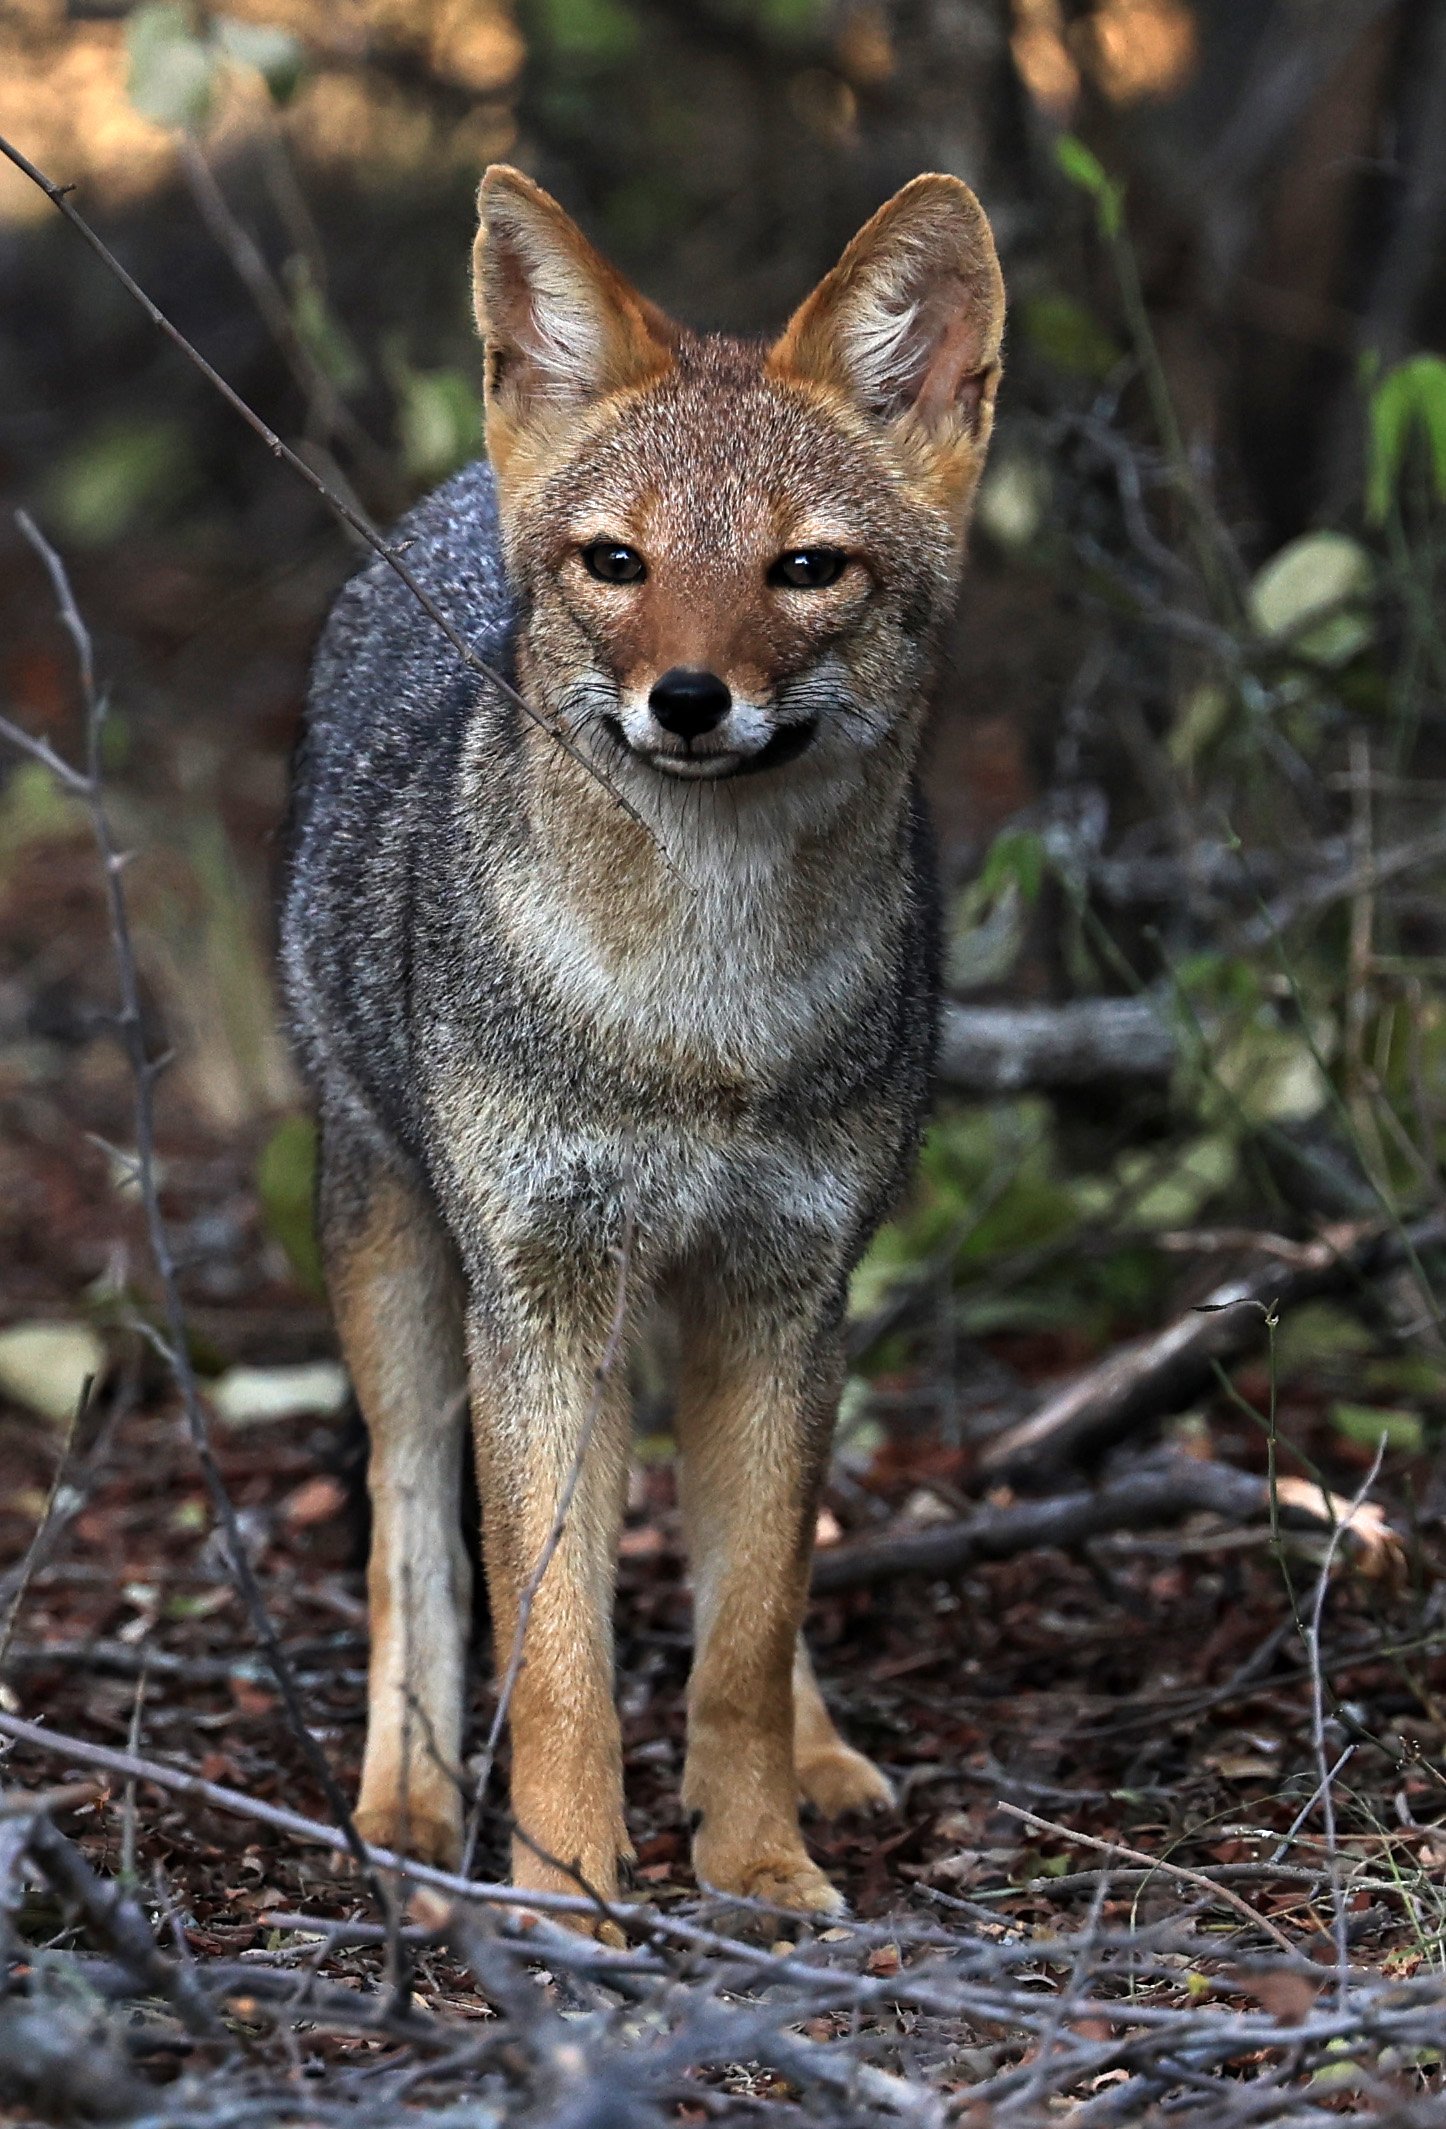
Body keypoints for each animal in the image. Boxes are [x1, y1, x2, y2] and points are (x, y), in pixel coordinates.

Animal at [281, 165, 1004, 1925]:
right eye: (618, 559)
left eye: (804, 570)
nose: (686, 698)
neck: (699, 1021)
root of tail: (444, 501)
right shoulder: (537, 1299)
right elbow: (555, 1654)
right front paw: (562, 1896)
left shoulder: (786, 1288)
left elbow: (743, 1630)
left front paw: (757, 1860)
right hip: (401, 1266)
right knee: (408, 1530)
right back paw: (408, 1799)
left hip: (693, 1319)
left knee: (745, 1562)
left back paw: (818, 1758)